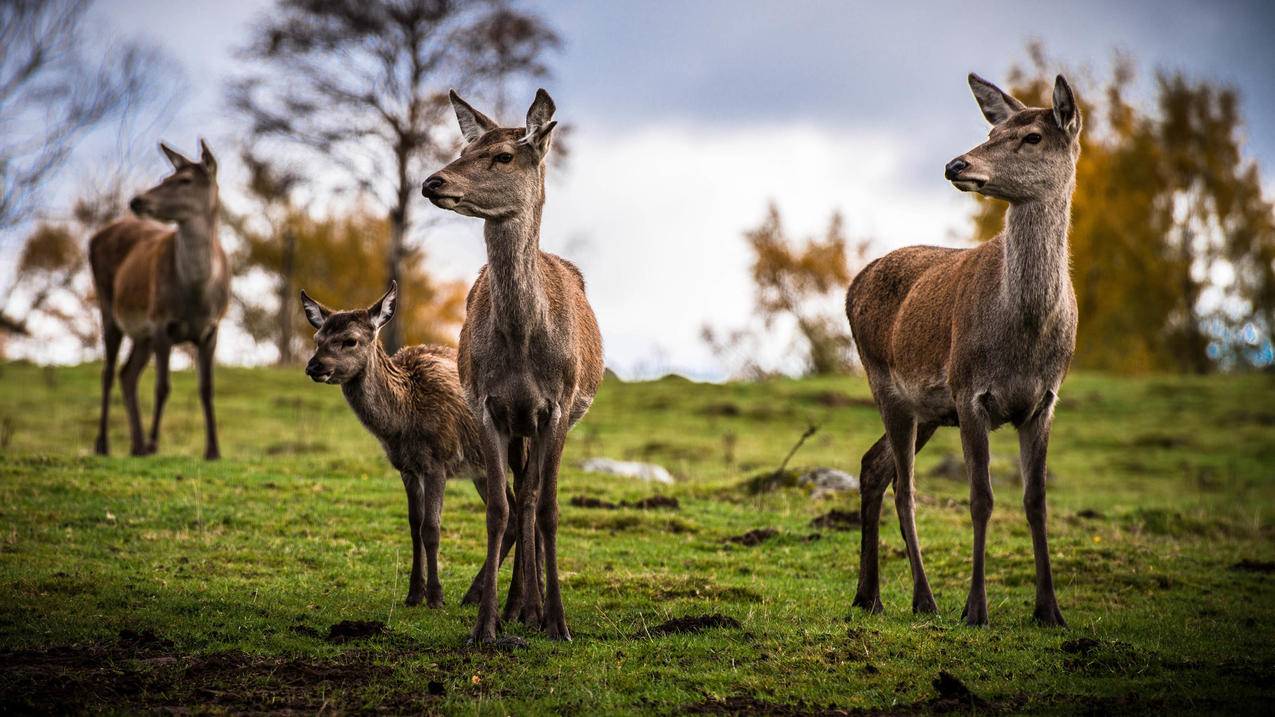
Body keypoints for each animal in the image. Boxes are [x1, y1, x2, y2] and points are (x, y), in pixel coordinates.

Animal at [89, 140, 229, 456]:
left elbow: (207, 388)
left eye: (185, 180)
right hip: (109, 308)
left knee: (127, 374)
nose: (137, 201)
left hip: (143, 334)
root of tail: (95, 237)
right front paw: (155, 443)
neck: (195, 294)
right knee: (108, 372)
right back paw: (104, 444)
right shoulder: (162, 323)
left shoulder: (212, 329)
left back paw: (136, 446)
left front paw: (213, 450)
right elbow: (162, 386)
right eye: (165, 177)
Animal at [298, 281, 527, 604]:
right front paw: (413, 594)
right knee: (512, 515)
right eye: (318, 338)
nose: (314, 366)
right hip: (481, 470)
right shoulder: (406, 468)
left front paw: (435, 596)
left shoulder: (439, 460)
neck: (404, 421)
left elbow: (431, 528)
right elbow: (413, 526)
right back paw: (473, 594)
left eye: (350, 340)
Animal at [420, 89, 604, 643]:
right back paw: (519, 605)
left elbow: (548, 508)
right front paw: (486, 626)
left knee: (531, 495)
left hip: (541, 420)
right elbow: (498, 509)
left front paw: (559, 623)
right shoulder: (488, 405)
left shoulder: (558, 405)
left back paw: (534, 608)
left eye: (503, 155)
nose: (433, 182)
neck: (523, 348)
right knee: (519, 495)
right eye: (464, 148)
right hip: (519, 424)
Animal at [841, 71, 1081, 620]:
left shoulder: (1045, 401)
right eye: (991, 133)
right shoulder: (971, 393)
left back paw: (869, 595)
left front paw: (1049, 611)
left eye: (1032, 136)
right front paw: (976, 610)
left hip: (927, 411)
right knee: (904, 487)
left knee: (873, 466)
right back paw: (923, 598)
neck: (1026, 333)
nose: (956, 164)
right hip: (886, 384)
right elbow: (981, 499)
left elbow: (1036, 501)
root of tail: (851, 285)